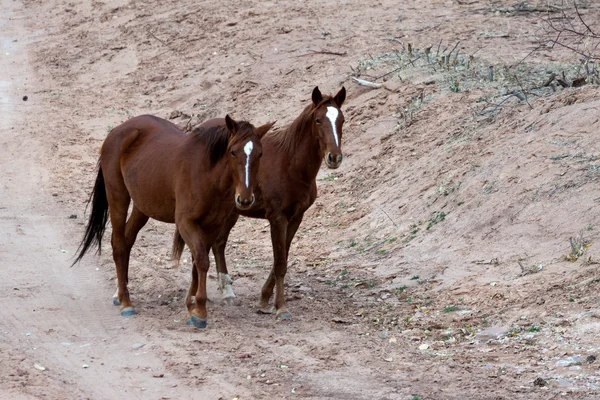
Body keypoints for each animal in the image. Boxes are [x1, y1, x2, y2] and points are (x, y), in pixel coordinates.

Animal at [72, 113, 274, 328]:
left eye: (260, 154)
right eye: (233, 152)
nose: (245, 199)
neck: (208, 174)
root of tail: (118, 130)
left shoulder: (213, 225)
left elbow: (197, 263)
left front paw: (191, 304)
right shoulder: (185, 222)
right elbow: (202, 260)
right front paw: (199, 311)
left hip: (143, 206)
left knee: (126, 241)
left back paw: (119, 293)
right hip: (118, 197)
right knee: (118, 244)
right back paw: (126, 301)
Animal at [171, 87, 344, 318]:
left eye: (341, 120)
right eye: (318, 120)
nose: (335, 157)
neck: (289, 162)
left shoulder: (296, 217)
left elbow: (282, 256)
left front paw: (264, 299)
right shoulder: (277, 217)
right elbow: (280, 262)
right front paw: (280, 307)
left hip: (230, 212)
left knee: (218, 244)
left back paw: (226, 292)